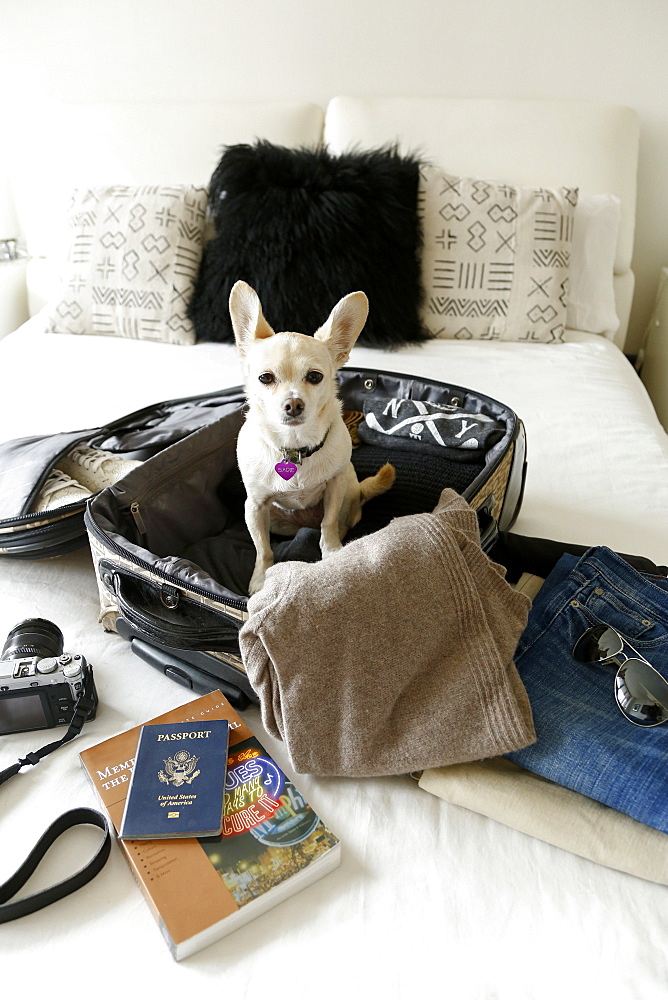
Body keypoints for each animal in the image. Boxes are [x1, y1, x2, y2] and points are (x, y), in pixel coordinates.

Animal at [231, 282, 396, 592]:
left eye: (315, 377)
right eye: (265, 378)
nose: (294, 404)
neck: (295, 447)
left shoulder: (334, 489)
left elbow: (327, 525)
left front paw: (332, 553)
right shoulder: (254, 507)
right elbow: (263, 549)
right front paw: (261, 579)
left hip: (348, 492)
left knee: (337, 520)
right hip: (273, 519)